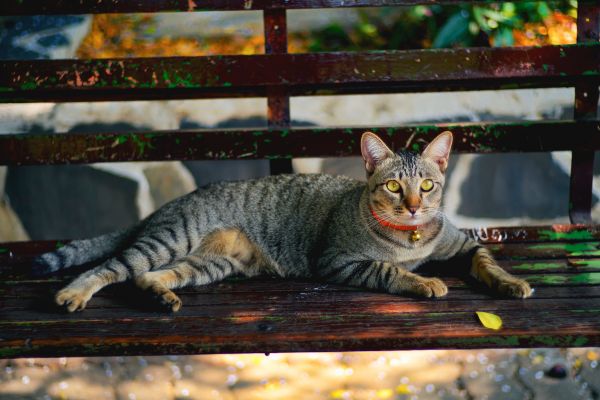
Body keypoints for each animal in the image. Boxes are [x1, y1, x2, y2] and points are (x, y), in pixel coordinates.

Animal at [34, 131, 528, 312]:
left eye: (426, 186)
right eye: (393, 186)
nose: (411, 206)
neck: (414, 239)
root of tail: (167, 204)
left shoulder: (463, 245)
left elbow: (488, 260)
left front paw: (511, 282)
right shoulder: (338, 260)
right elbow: (389, 269)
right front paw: (424, 281)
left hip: (208, 264)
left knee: (148, 277)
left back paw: (161, 296)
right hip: (170, 240)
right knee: (111, 267)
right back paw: (72, 294)